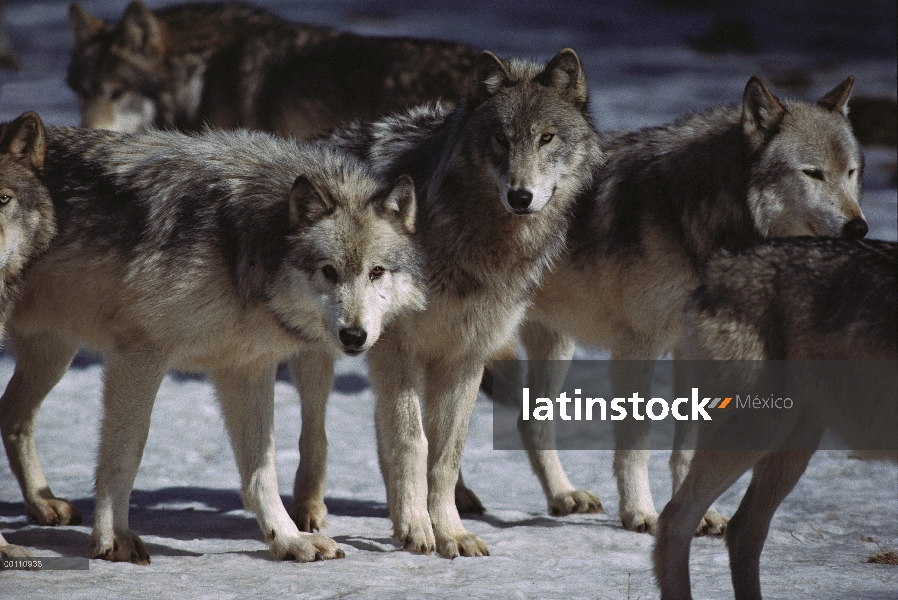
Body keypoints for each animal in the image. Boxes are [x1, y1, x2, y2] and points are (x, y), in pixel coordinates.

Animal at [288, 48, 600, 556]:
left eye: (547, 138)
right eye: (500, 138)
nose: (520, 195)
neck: (477, 242)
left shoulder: (465, 354)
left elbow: (445, 452)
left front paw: (447, 530)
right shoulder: (396, 347)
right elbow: (413, 443)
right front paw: (418, 527)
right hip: (325, 353)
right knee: (315, 431)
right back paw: (311, 511)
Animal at [468, 75, 868, 528]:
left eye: (850, 172)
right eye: (812, 173)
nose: (859, 228)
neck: (700, 218)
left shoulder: (690, 350)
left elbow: (688, 448)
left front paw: (698, 515)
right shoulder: (636, 346)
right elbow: (636, 444)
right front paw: (641, 512)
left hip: (555, 343)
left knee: (530, 423)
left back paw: (562, 496)